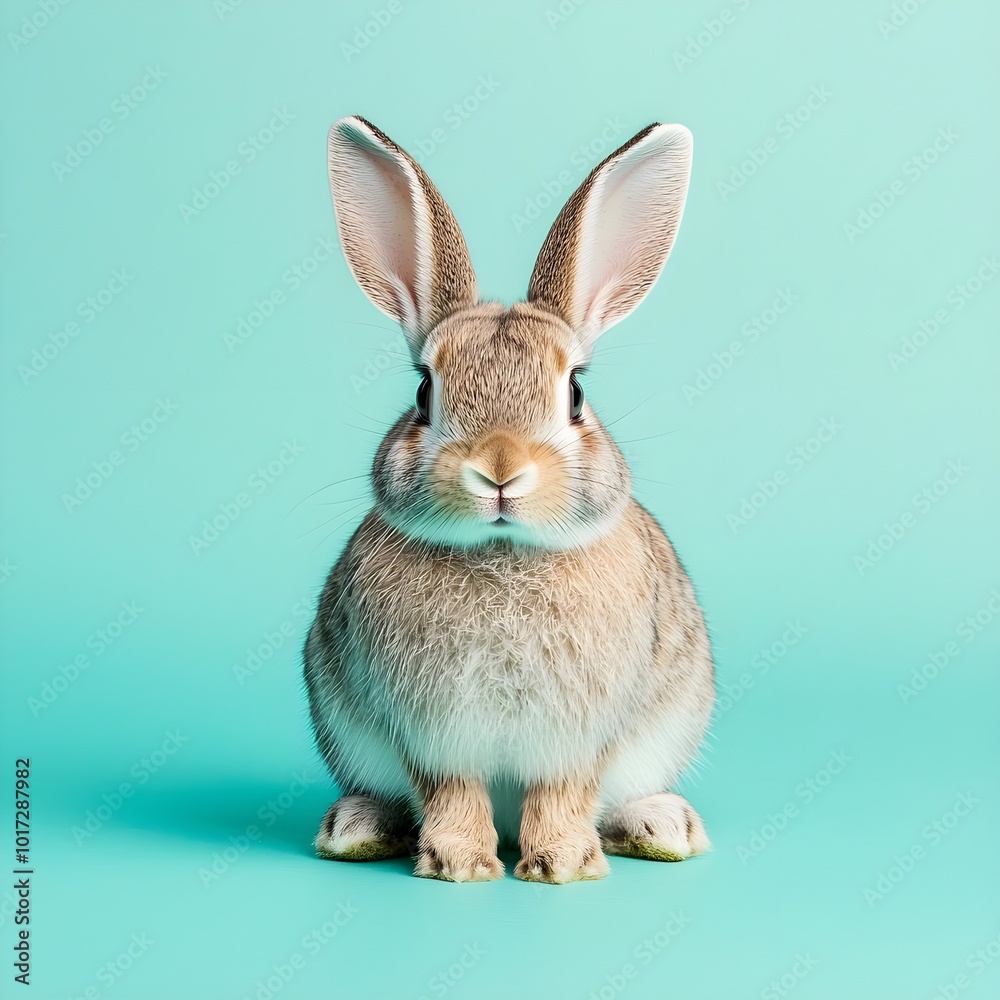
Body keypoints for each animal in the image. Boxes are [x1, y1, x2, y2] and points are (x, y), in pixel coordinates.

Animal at [303, 115, 714, 883]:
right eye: (423, 392)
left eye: (575, 394)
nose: (499, 468)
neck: (504, 555)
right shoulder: (431, 737)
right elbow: (450, 793)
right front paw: (459, 863)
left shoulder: (578, 742)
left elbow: (563, 796)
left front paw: (562, 865)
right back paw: (357, 828)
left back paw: (663, 826)